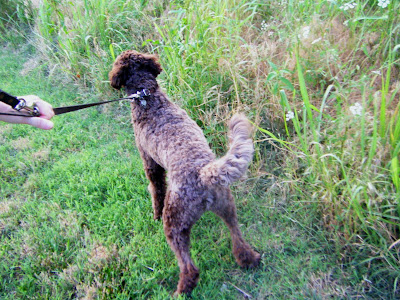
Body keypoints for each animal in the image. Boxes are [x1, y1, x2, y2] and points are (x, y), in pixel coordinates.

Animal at [108, 51, 260, 296]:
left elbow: (156, 190)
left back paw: (181, 290)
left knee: (189, 267)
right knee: (238, 239)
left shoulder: (150, 163)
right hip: (227, 207)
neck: (148, 98)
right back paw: (250, 259)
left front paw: (154, 214)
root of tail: (204, 173)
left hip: (174, 223)